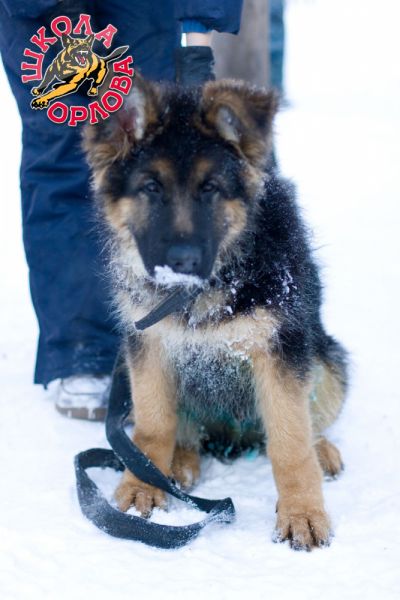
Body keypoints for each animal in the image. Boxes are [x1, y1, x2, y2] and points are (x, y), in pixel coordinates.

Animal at [83, 76, 348, 551]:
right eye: (151, 187)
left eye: (211, 188)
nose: (182, 261)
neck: (199, 294)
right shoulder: (147, 344)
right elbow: (153, 425)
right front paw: (142, 484)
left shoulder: (280, 350)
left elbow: (290, 440)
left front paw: (302, 513)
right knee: (183, 429)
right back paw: (179, 463)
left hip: (328, 360)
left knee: (311, 421)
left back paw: (322, 449)